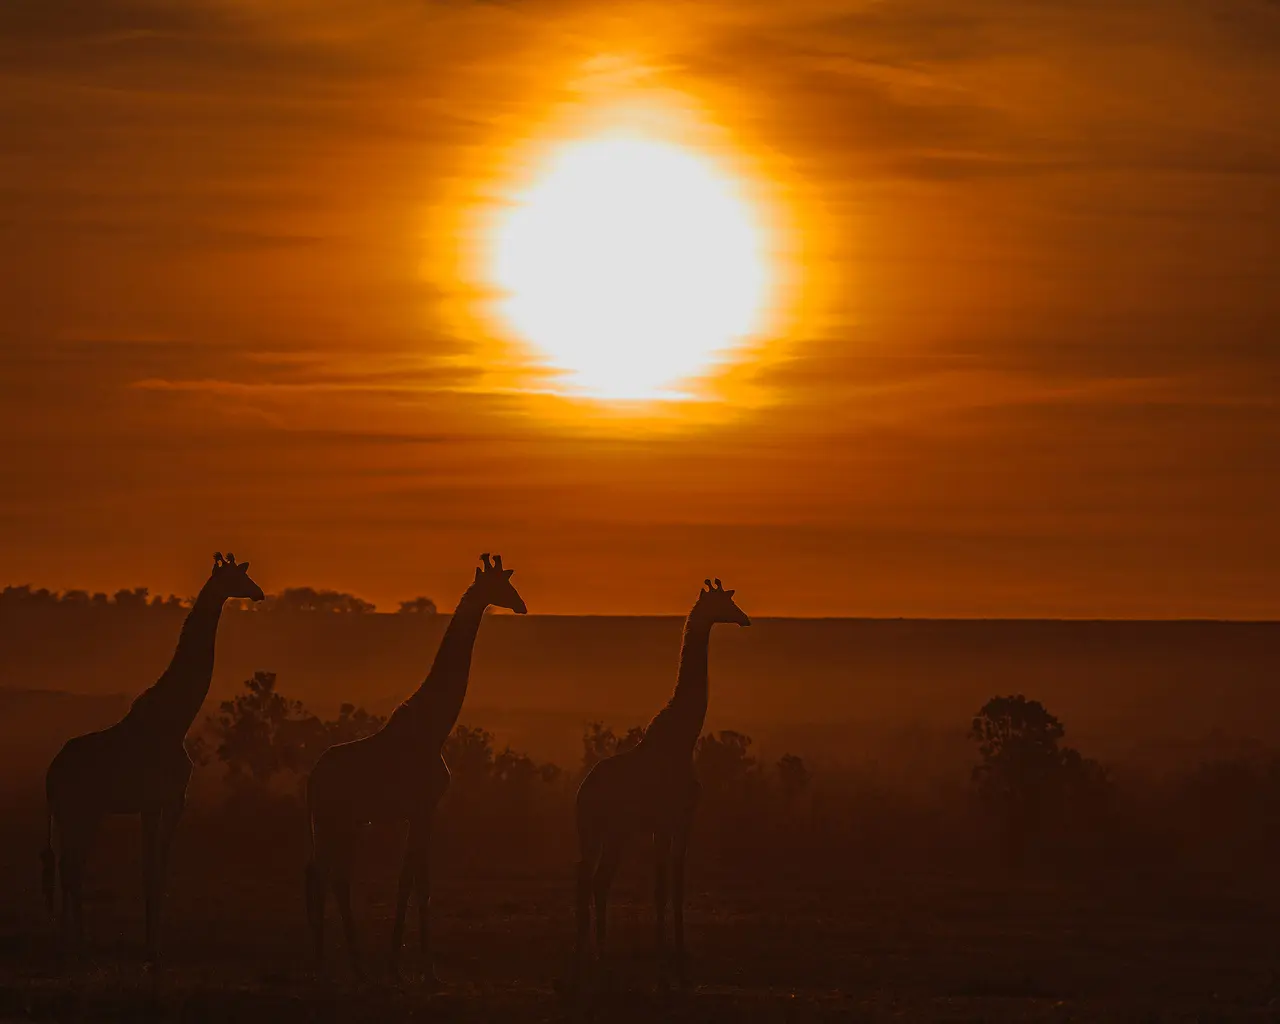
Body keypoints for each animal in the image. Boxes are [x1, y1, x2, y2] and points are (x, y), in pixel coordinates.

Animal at [41, 552, 265, 961]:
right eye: (236, 577)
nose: (258, 593)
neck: (176, 721)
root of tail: (50, 772)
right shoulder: (167, 801)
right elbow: (155, 871)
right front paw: (153, 947)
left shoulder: (156, 804)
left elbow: (152, 871)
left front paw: (151, 942)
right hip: (82, 812)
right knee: (71, 868)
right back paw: (74, 942)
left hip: (73, 814)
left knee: (69, 867)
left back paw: (71, 939)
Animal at [304, 553, 527, 981]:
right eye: (502, 586)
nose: (522, 606)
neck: (434, 727)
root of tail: (312, 779)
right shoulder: (422, 808)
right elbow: (410, 879)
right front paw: (401, 955)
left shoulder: (423, 811)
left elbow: (421, 879)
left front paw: (420, 953)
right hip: (338, 821)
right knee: (330, 877)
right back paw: (340, 962)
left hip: (334, 823)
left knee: (326, 876)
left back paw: (336, 959)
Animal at [571, 577, 750, 991]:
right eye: (724, 603)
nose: (745, 619)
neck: (682, 738)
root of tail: (583, 793)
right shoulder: (672, 821)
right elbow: (665, 886)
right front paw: (667, 949)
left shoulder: (671, 824)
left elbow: (669, 884)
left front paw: (673, 946)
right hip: (613, 831)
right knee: (596, 879)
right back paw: (597, 949)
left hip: (597, 831)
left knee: (589, 878)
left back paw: (591, 948)